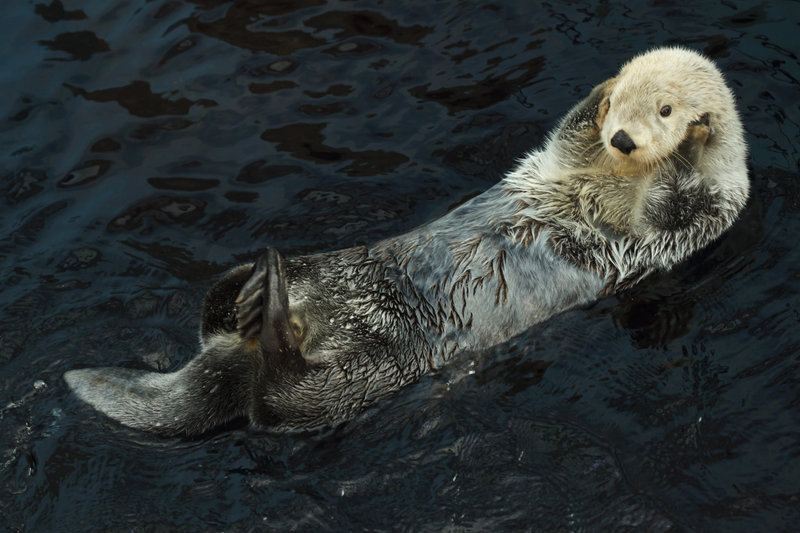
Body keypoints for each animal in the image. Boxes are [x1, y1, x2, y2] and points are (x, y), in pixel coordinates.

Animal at [64, 47, 749, 436]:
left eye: (662, 111)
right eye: (623, 110)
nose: (624, 139)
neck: (618, 176)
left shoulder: (708, 216)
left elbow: (679, 207)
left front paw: (694, 139)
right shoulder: (562, 160)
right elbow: (569, 130)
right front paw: (603, 91)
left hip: (367, 376)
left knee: (278, 407)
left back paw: (270, 313)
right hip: (332, 273)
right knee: (217, 314)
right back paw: (252, 288)